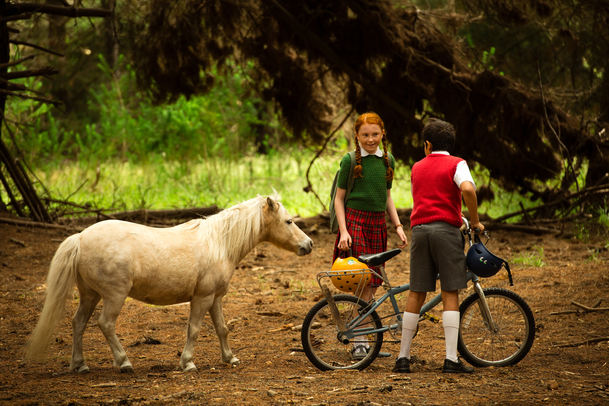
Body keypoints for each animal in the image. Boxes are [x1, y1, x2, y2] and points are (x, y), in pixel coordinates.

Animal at [25, 195, 312, 372]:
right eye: (289, 221)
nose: (308, 244)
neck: (219, 244)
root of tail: (81, 237)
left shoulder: (216, 298)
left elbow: (222, 329)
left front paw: (230, 358)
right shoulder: (202, 298)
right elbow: (194, 330)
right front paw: (188, 363)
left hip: (90, 295)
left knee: (79, 324)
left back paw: (80, 364)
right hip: (114, 296)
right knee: (105, 324)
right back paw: (124, 362)